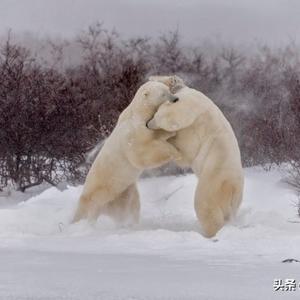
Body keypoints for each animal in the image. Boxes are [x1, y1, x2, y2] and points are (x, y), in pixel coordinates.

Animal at [72, 81, 180, 223]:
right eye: (163, 94)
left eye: (169, 90)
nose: (175, 99)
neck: (139, 113)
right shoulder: (131, 134)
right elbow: (140, 155)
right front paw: (174, 152)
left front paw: (171, 131)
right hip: (96, 196)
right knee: (90, 214)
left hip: (124, 192)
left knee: (131, 207)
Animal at [148, 76, 244, 238]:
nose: (148, 123)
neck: (181, 89)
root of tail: (233, 188)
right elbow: (184, 154)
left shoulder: (190, 104)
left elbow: (175, 116)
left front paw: (152, 122)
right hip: (234, 198)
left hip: (214, 179)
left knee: (205, 204)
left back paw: (210, 233)